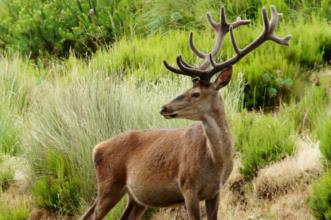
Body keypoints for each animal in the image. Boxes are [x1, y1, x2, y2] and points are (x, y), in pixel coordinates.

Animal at [81, 5, 292, 220]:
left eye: (196, 93)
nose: (164, 108)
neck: (216, 162)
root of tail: (96, 148)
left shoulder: (215, 191)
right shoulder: (187, 186)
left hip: (135, 197)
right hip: (109, 184)